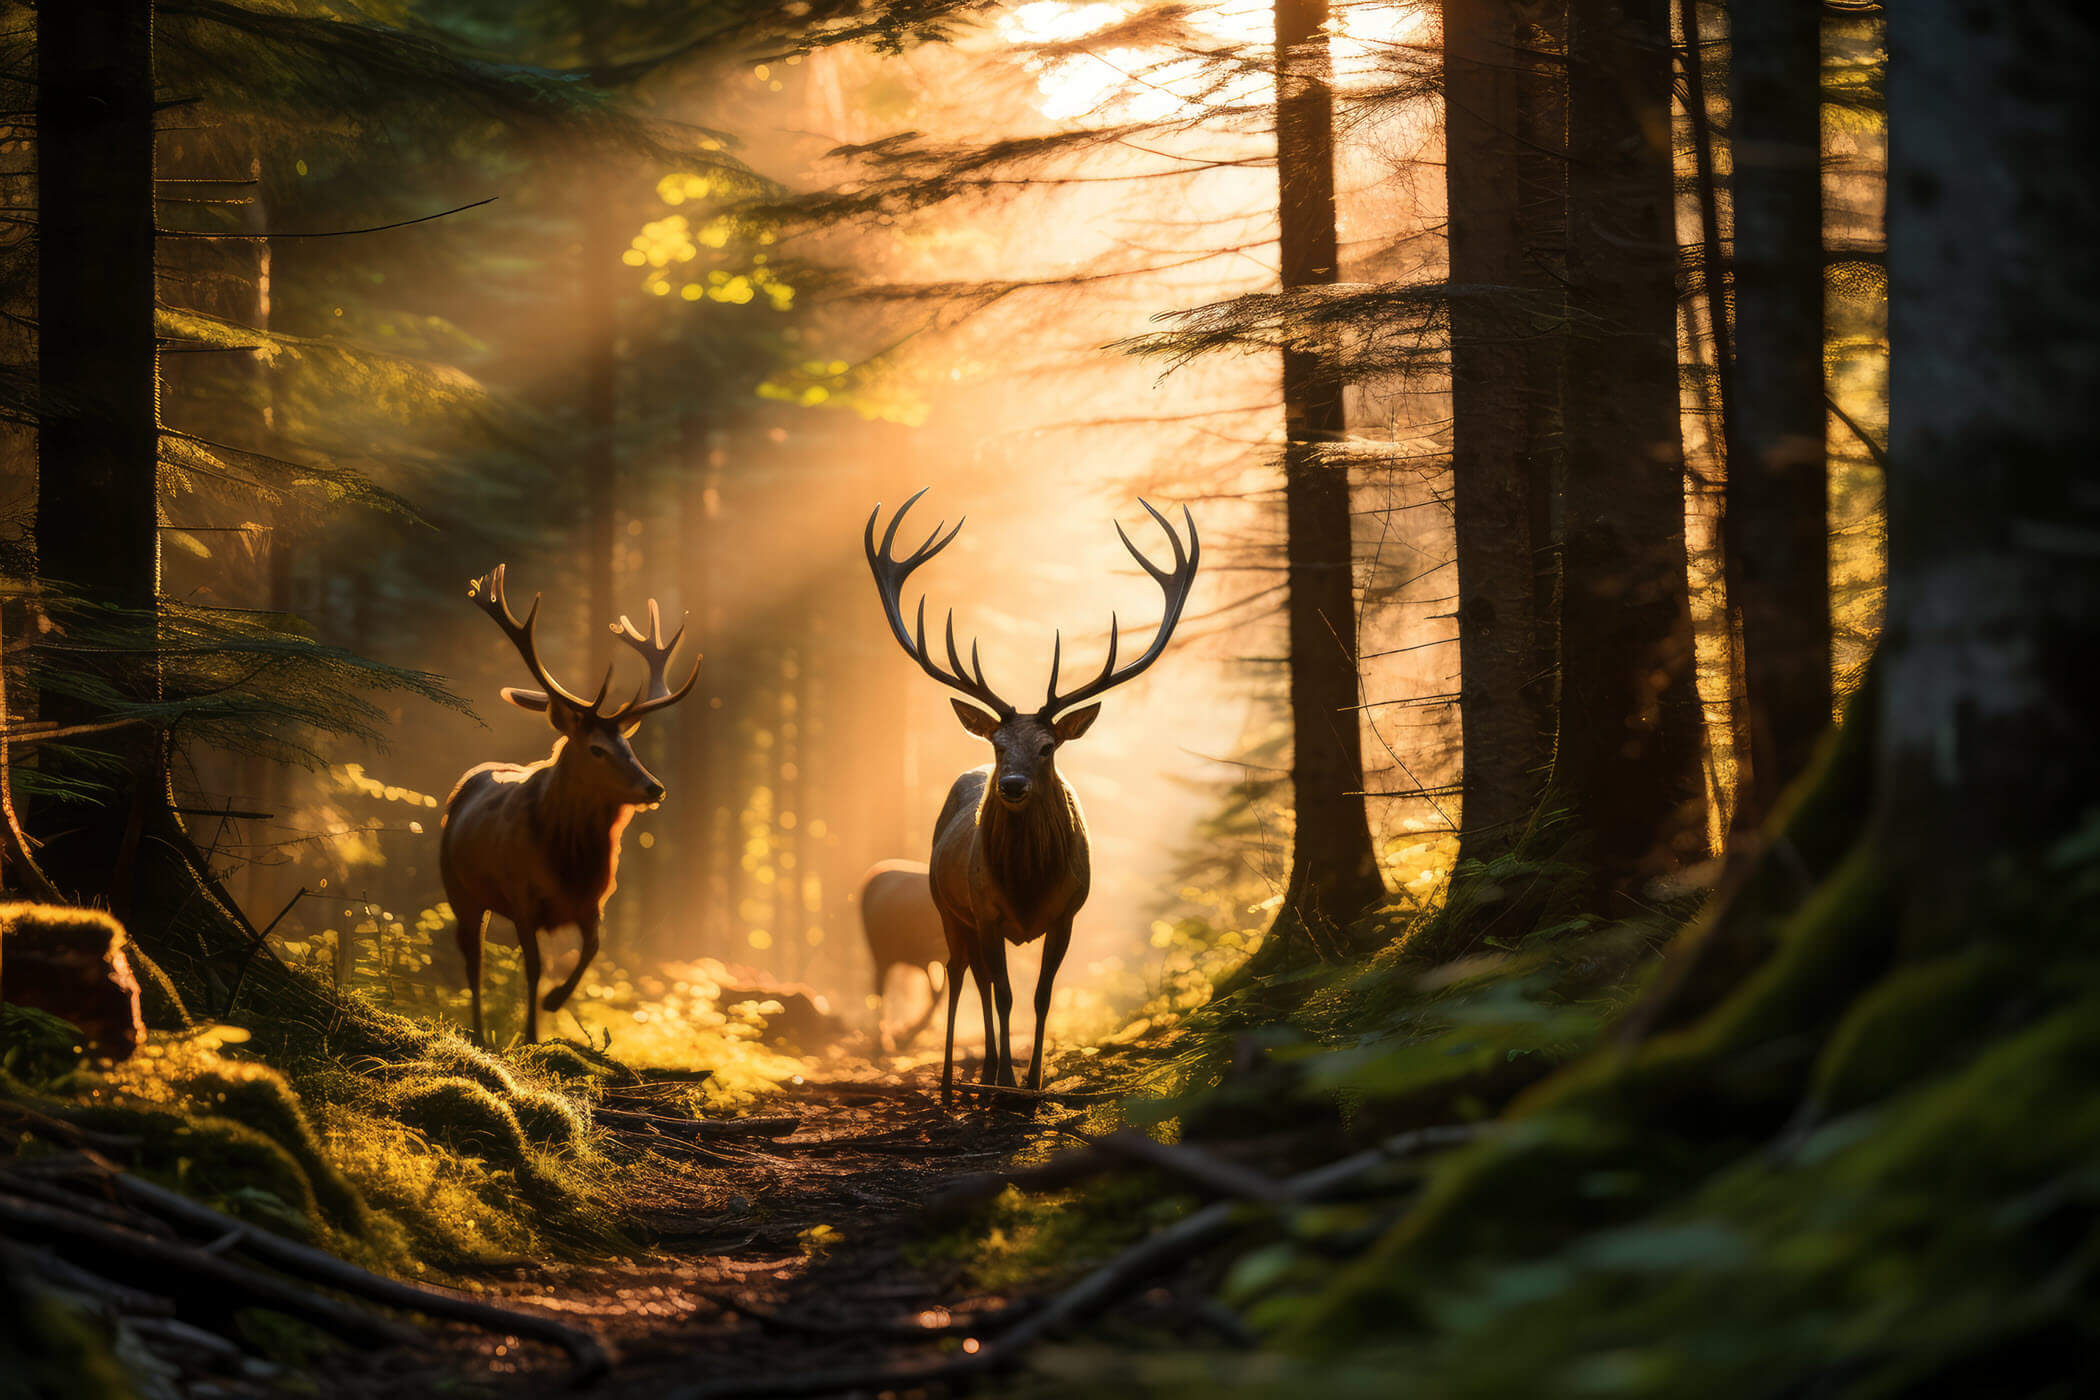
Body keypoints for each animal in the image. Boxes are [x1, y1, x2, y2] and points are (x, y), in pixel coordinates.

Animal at [440, 565, 698, 1044]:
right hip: (459, 889)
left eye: (629, 745)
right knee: (473, 960)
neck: (569, 861)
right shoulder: (522, 896)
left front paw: (555, 1001)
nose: (654, 788)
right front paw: (530, 1033)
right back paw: (480, 1034)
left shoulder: (592, 902)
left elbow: (592, 950)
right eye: (596, 749)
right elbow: (534, 967)